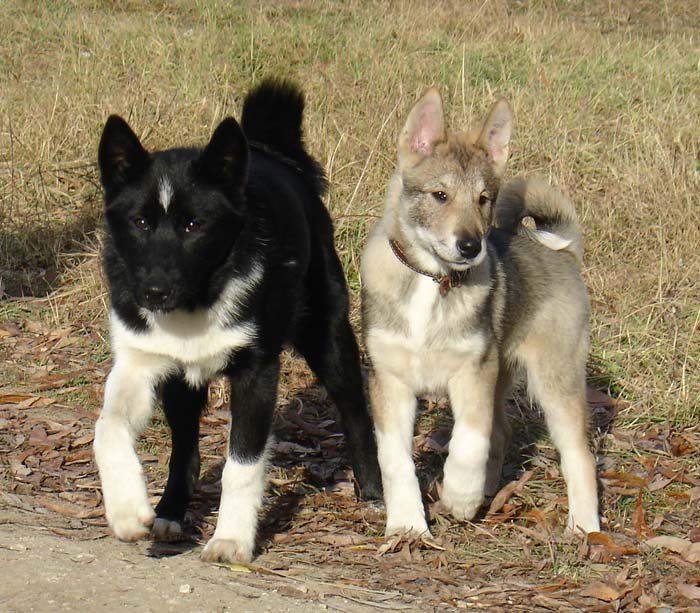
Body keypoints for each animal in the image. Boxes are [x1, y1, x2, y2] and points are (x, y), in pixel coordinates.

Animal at [93, 80, 382, 564]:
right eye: (140, 221)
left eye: (194, 225)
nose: (154, 292)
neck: (197, 301)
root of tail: (267, 150)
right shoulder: (139, 361)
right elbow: (107, 428)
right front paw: (128, 512)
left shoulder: (256, 372)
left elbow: (242, 464)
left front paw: (231, 539)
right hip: (179, 383)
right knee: (185, 447)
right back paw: (169, 512)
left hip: (327, 336)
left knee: (355, 412)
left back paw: (376, 492)